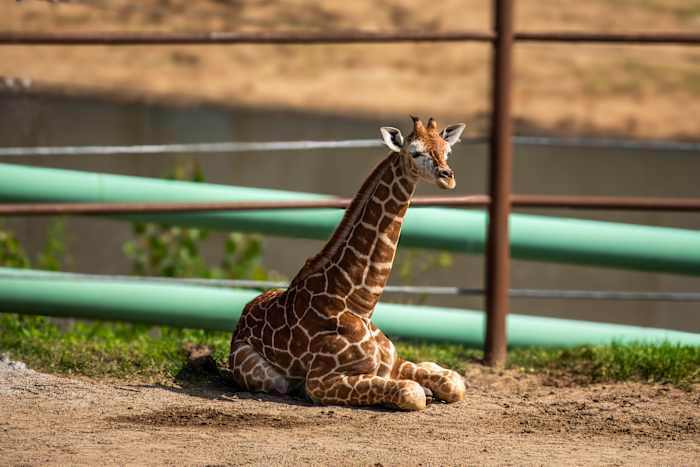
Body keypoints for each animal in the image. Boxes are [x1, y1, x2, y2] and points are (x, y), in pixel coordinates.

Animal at [229, 116, 467, 410]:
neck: (359, 304)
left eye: (447, 151)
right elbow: (411, 392)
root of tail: (243, 314)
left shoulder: (393, 362)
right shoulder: (320, 382)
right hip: (264, 375)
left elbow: (454, 383)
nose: (448, 177)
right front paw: (422, 391)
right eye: (415, 152)